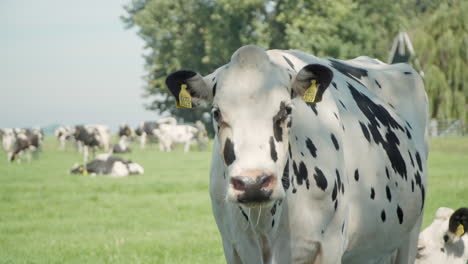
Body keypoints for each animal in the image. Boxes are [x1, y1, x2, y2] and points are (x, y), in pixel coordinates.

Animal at [166, 45, 430, 264]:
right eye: (216, 113)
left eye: (286, 110)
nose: (253, 183)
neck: (267, 224)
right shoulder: (235, 248)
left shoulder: (330, 246)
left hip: (409, 236)